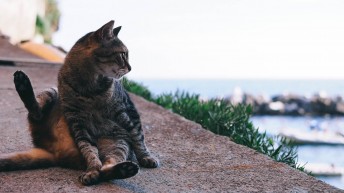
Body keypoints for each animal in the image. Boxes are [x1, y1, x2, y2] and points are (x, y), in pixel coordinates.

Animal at [0, 20, 159, 185]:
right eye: (123, 54)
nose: (130, 67)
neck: (90, 86)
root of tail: (56, 154)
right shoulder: (78, 122)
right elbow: (89, 150)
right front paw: (92, 169)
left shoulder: (125, 109)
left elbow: (138, 136)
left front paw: (146, 157)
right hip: (52, 92)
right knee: (36, 112)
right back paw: (22, 84)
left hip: (119, 142)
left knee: (108, 166)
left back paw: (124, 169)